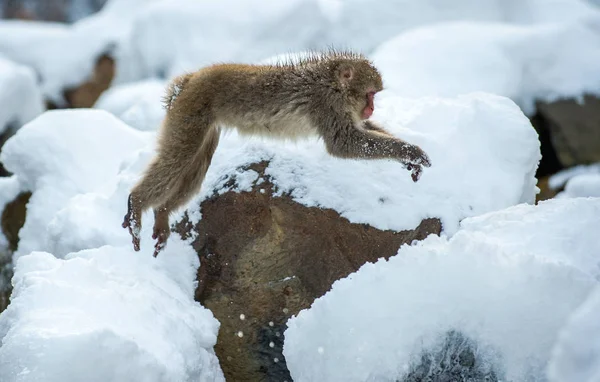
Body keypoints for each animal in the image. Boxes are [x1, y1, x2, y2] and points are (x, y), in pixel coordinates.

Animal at [122, 49, 432, 255]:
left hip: (203, 122)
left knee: (195, 167)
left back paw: (162, 213)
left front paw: (407, 159)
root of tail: (190, 78)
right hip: (190, 113)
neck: (331, 81)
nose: (372, 107)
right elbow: (343, 143)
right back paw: (137, 204)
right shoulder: (327, 103)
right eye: (370, 94)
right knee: (177, 159)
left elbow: (360, 130)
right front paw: (410, 152)